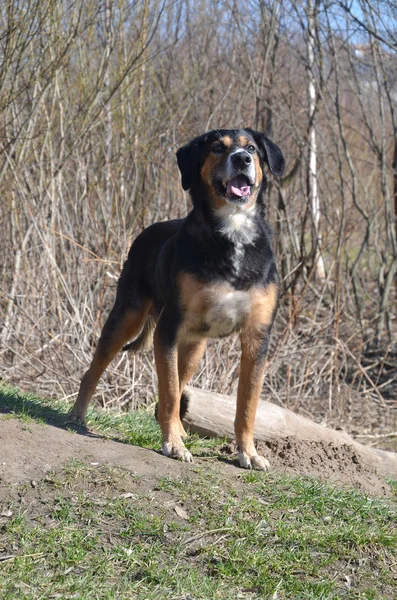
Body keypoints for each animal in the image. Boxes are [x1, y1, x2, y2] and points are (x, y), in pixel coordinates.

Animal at [69, 129, 284, 472]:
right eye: (217, 148)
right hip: (126, 318)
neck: (233, 231)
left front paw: (247, 452)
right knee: (95, 369)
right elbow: (169, 391)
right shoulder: (168, 329)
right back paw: (78, 414)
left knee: (182, 380)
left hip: (195, 346)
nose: (241, 159)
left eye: (251, 148)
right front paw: (172, 444)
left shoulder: (257, 338)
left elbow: (247, 405)